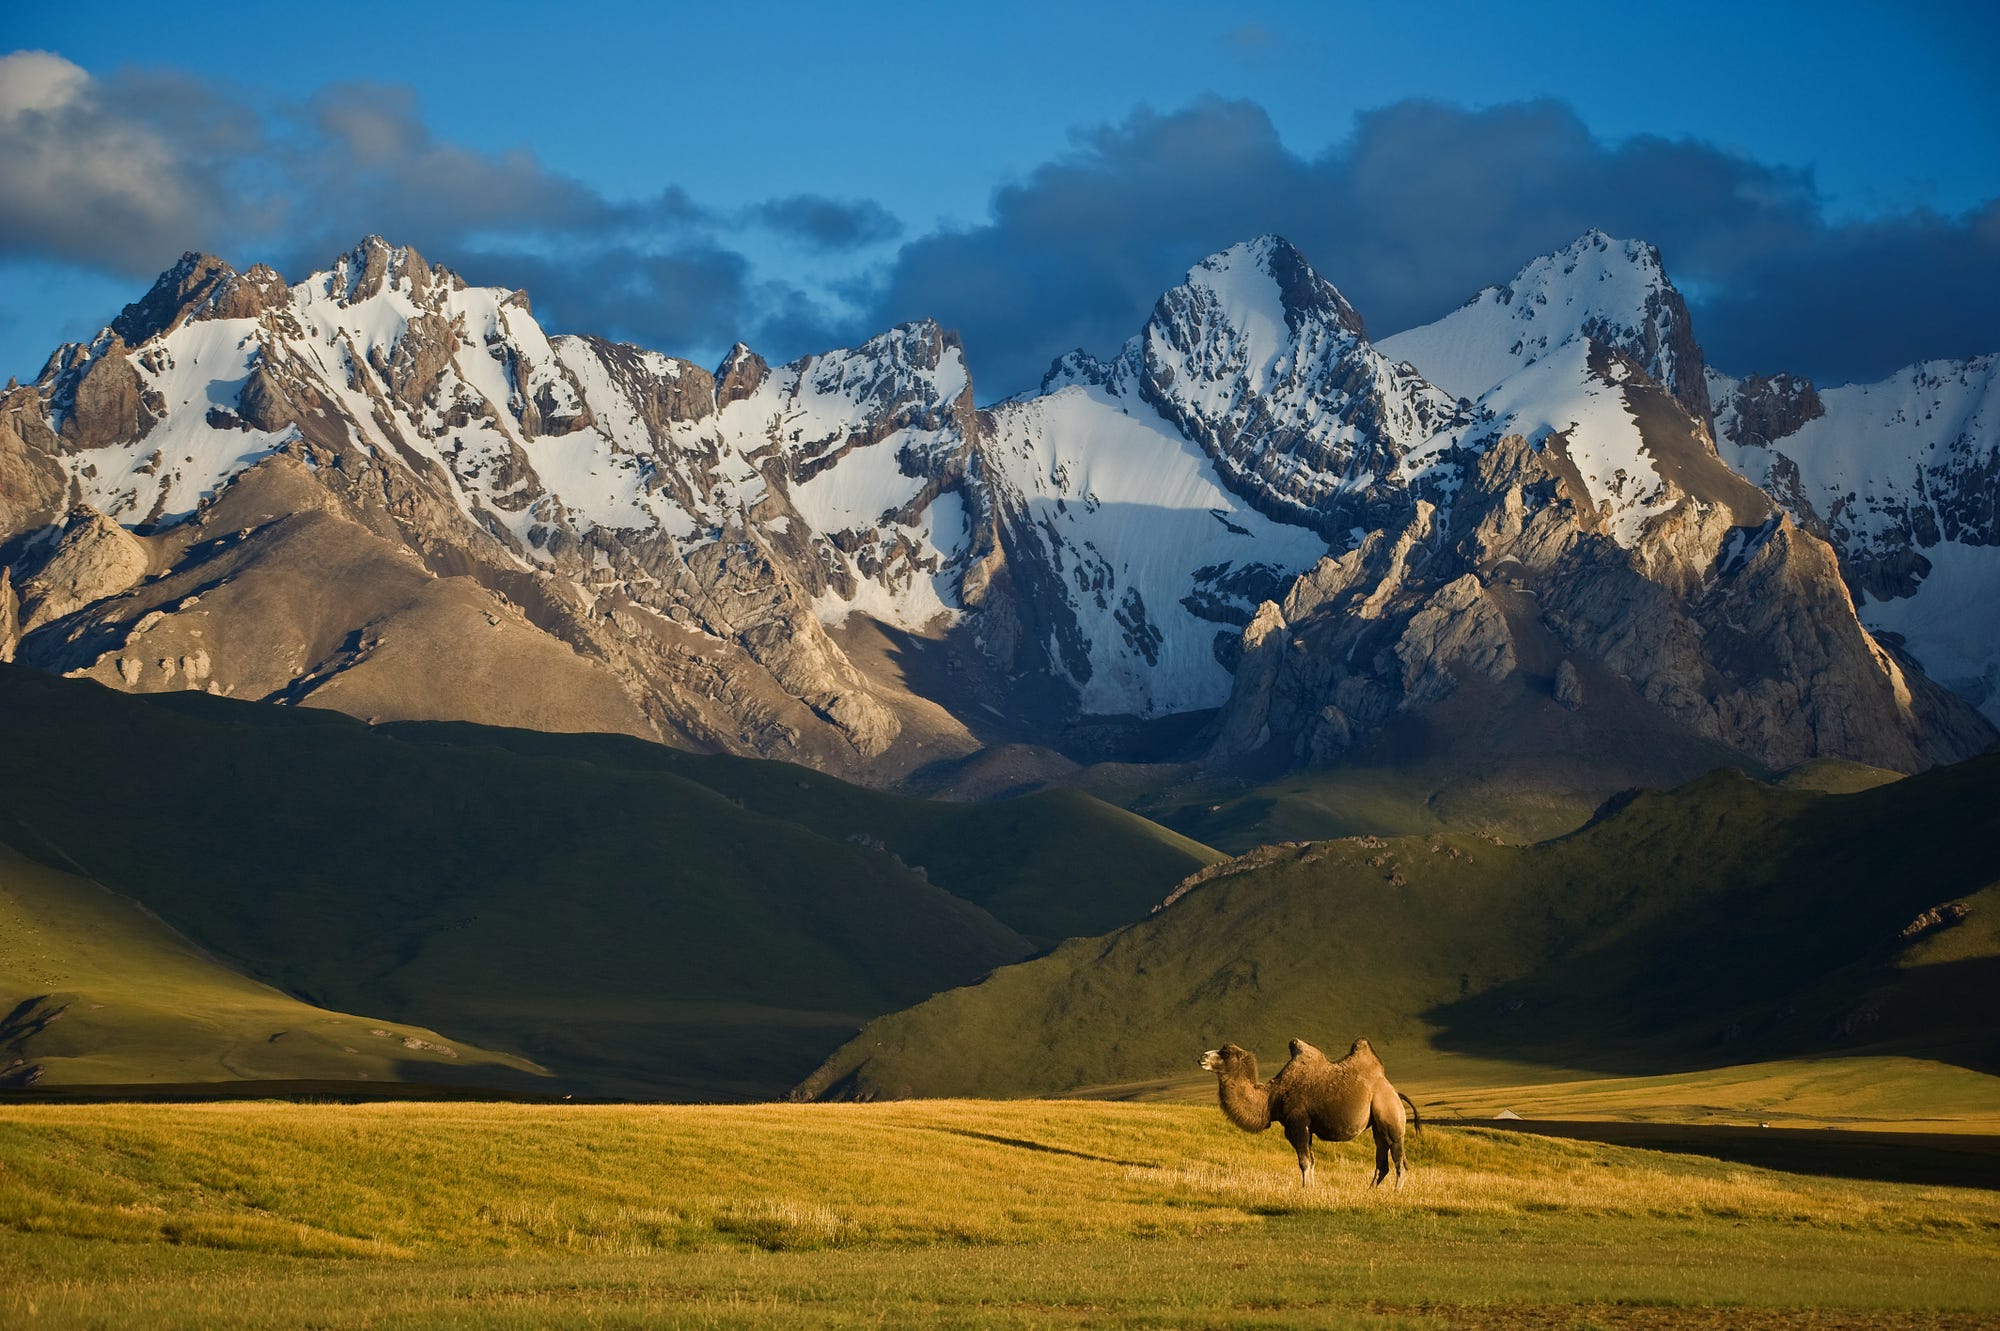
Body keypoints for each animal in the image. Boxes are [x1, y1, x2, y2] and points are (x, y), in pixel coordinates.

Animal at [1192, 1039, 1416, 1183]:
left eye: (1225, 1053)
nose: (1201, 1056)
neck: (1272, 1097)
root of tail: (1394, 1092)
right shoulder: (1306, 1127)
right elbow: (1313, 1161)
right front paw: (1313, 1191)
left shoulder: (1297, 1123)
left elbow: (1304, 1162)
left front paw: (1305, 1191)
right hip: (1377, 1126)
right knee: (1382, 1162)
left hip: (1390, 1115)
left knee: (1399, 1160)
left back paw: (1396, 1193)